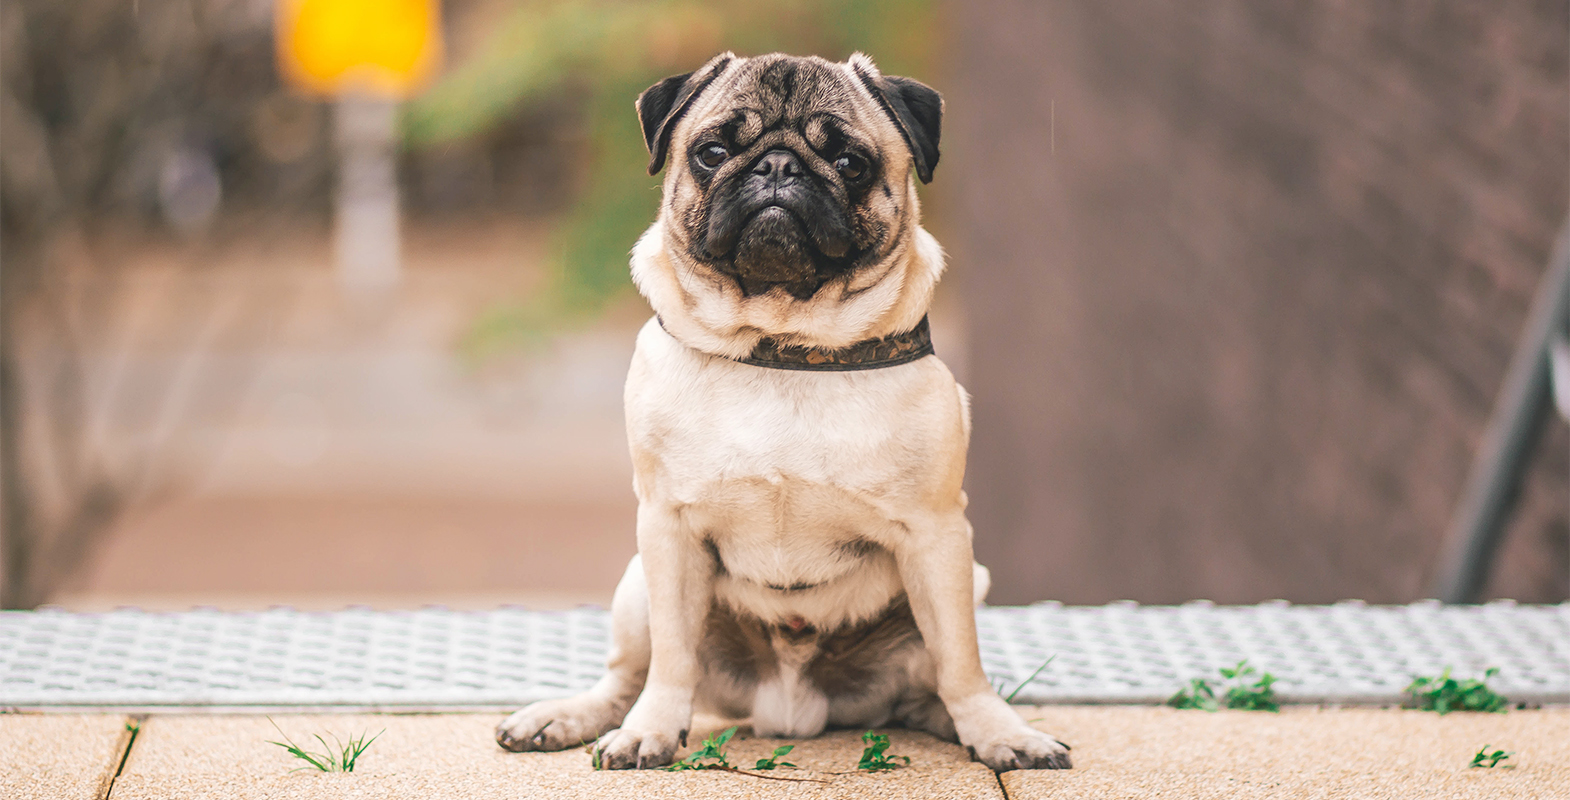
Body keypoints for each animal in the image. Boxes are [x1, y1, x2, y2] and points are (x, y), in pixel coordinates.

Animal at [496, 51, 1073, 774]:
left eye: (851, 163)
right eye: (713, 153)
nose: (776, 166)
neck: (783, 346)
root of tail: (790, 708)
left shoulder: (937, 534)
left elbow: (963, 662)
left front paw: (998, 730)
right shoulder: (666, 527)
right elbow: (672, 659)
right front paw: (651, 729)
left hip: (967, 581)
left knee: (932, 681)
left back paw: (962, 721)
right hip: (634, 585)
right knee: (628, 675)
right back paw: (570, 717)